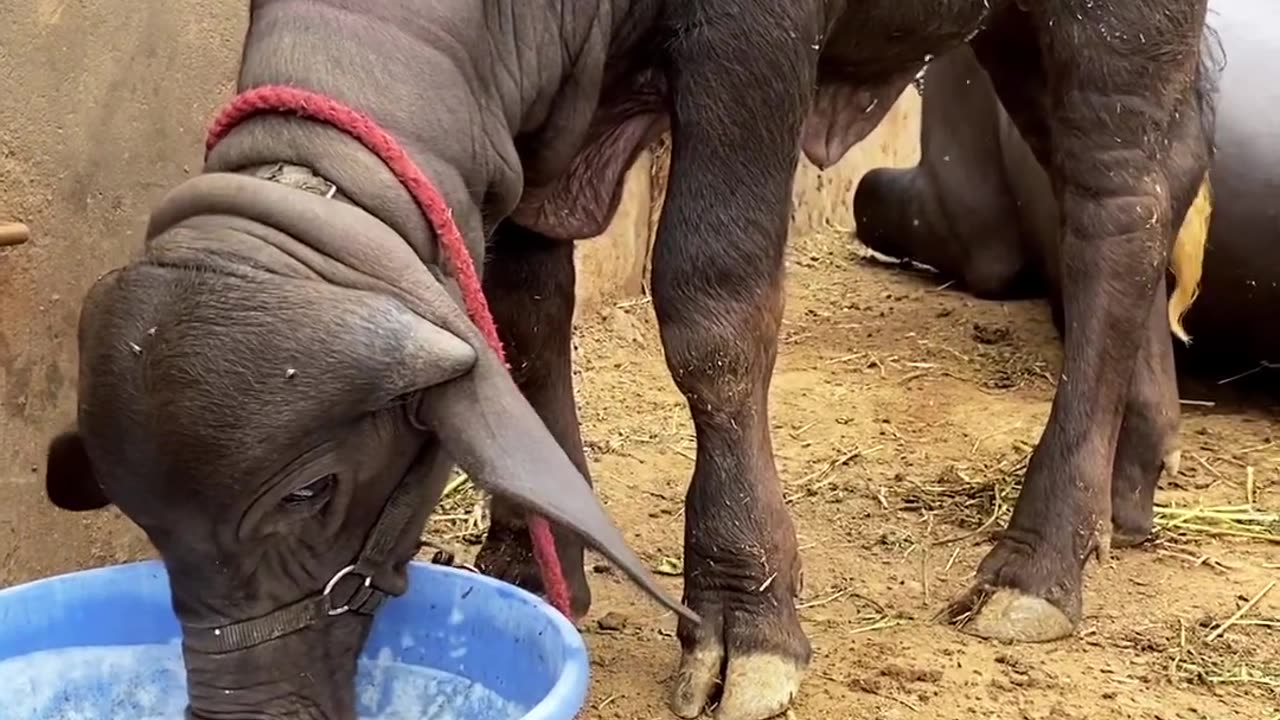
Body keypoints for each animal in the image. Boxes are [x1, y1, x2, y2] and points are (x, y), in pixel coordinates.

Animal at [45, 1, 1213, 717]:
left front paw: (742, 618)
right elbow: (519, 313)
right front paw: (533, 562)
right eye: (146, 521)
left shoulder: (746, 48)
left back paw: (1040, 561)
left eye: (310, 490)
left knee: (1115, 207)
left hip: (1115, 24)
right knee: (1142, 186)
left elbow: (710, 304)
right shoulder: (534, 111)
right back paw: (1129, 475)